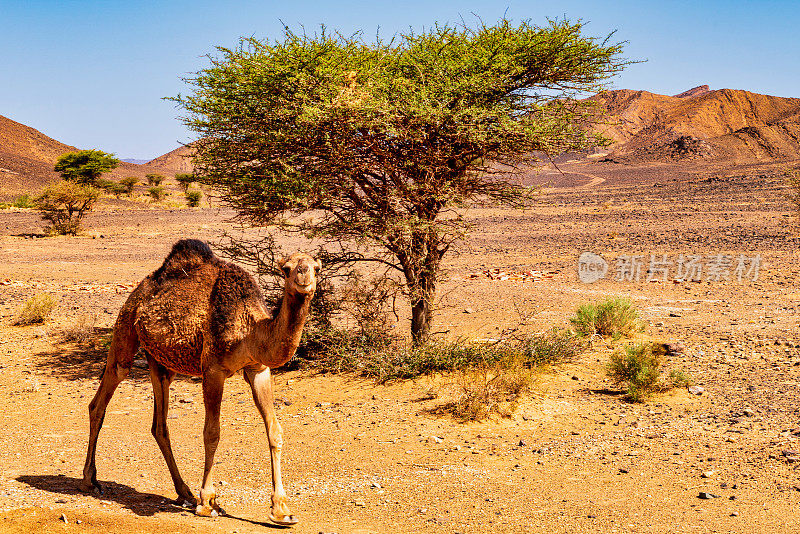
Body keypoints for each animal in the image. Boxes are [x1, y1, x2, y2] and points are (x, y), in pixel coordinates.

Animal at [78, 240, 318, 528]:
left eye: (316, 266)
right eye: (286, 268)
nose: (304, 276)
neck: (249, 330)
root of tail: (142, 286)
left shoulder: (258, 369)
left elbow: (274, 431)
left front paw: (282, 510)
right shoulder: (212, 369)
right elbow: (212, 433)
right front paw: (208, 502)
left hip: (162, 362)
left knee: (159, 424)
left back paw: (184, 492)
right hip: (125, 327)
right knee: (102, 398)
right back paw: (90, 480)